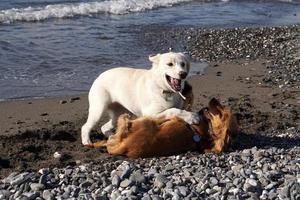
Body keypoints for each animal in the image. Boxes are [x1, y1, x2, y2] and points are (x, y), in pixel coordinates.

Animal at [92, 98, 238, 158]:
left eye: (223, 113)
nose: (213, 99)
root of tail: (125, 146)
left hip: (146, 120)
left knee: (121, 125)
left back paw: (124, 118)